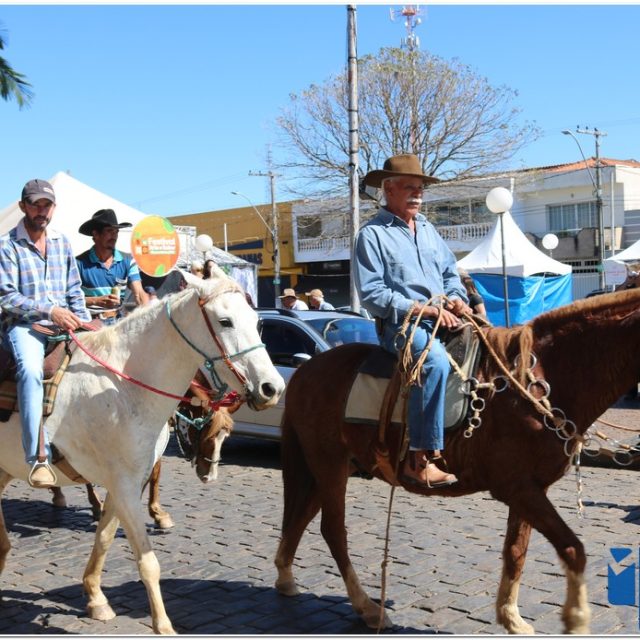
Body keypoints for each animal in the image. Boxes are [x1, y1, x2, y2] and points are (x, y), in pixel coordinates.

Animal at [0, 267, 285, 634]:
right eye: (225, 321)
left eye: (257, 321)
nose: (272, 388)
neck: (122, 387)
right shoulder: (122, 483)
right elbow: (148, 562)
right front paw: (163, 626)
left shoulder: (126, 482)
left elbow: (105, 537)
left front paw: (96, 598)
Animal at [274, 288, 640, 634]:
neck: (535, 381)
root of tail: (305, 370)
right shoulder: (518, 489)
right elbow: (572, 549)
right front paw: (576, 619)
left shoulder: (529, 489)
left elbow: (516, 551)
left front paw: (510, 617)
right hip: (329, 464)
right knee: (333, 530)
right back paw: (367, 608)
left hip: (328, 467)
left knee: (302, 515)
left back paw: (285, 577)